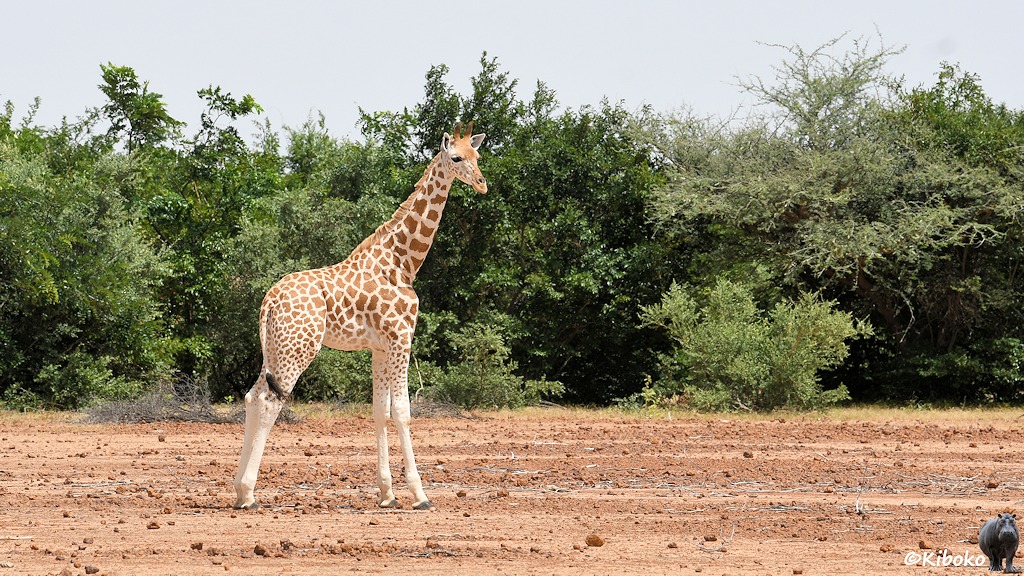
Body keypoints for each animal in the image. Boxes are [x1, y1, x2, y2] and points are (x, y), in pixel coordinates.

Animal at [233, 122, 487, 511]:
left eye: (478, 155)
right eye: (456, 158)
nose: (482, 183)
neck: (403, 264)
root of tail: (269, 300)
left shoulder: (379, 348)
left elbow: (379, 411)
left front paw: (387, 494)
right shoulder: (401, 338)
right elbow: (402, 412)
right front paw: (419, 494)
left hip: (276, 348)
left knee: (251, 397)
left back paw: (237, 491)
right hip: (299, 349)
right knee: (268, 401)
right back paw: (248, 494)